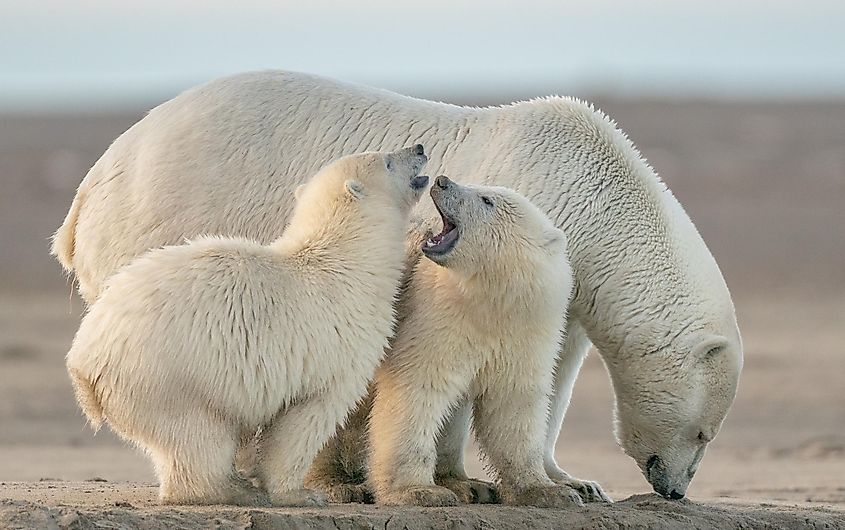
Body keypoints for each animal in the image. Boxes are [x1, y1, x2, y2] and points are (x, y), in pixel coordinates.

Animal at [64, 144, 428, 504]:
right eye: (387, 160)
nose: (420, 148)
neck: (346, 261)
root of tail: (83, 360)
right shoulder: (336, 341)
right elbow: (305, 419)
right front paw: (299, 493)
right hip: (167, 376)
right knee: (199, 433)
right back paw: (231, 489)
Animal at [370, 178, 580, 508]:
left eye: (486, 200)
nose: (442, 180)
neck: (490, 302)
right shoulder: (436, 322)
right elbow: (415, 392)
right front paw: (419, 491)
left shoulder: (525, 335)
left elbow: (514, 407)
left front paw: (548, 491)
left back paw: (468, 485)